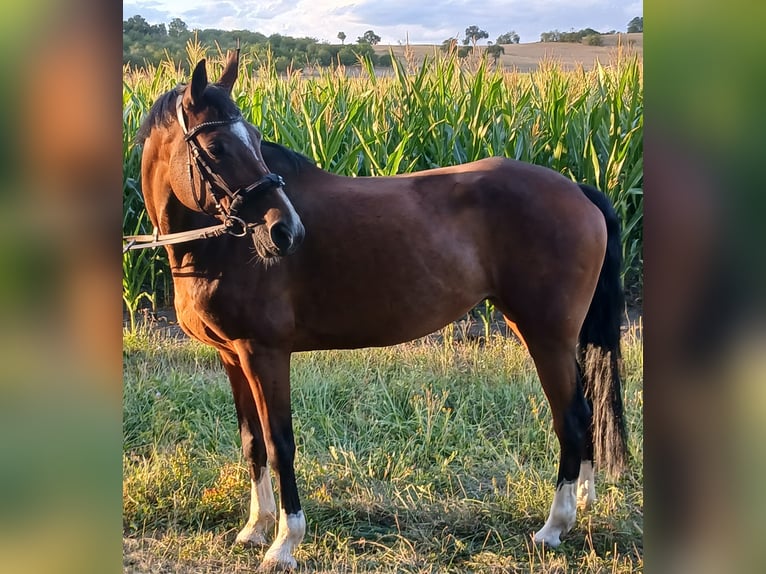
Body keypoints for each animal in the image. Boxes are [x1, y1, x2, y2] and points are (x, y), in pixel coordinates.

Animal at [132, 49, 628, 571]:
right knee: (587, 412)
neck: (216, 247)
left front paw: (284, 543)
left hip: (545, 335)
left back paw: (553, 528)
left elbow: (279, 443)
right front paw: (255, 528)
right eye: (218, 146)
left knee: (571, 417)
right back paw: (583, 503)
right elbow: (252, 443)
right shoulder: (232, 355)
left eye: (253, 139)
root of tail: (578, 189)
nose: (286, 230)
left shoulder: (263, 353)